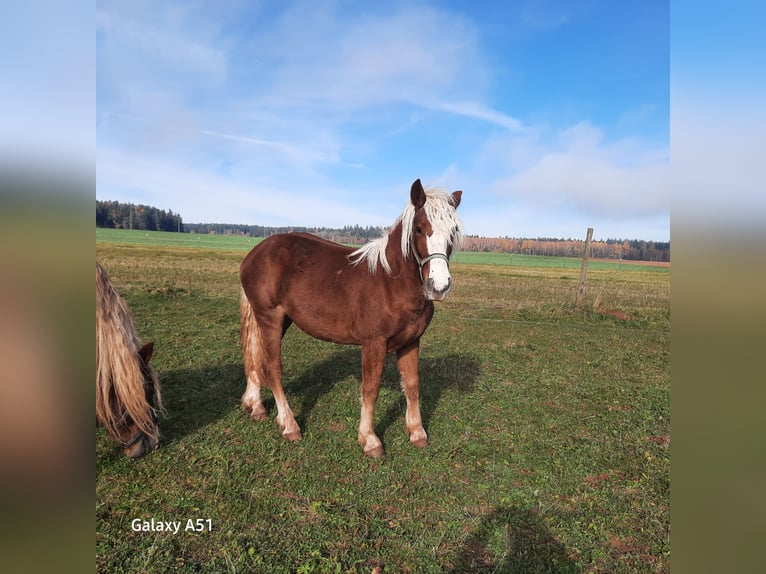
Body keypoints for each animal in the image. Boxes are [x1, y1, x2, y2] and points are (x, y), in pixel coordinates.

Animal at [239, 178, 464, 457]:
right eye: (419, 228)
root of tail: (254, 253)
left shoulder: (411, 341)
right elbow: (370, 389)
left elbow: (412, 385)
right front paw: (369, 439)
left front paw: (417, 432)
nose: (439, 285)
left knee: (255, 355)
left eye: (454, 230)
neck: (391, 282)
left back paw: (256, 406)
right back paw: (289, 425)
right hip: (270, 317)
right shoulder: (373, 343)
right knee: (272, 367)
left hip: (279, 320)